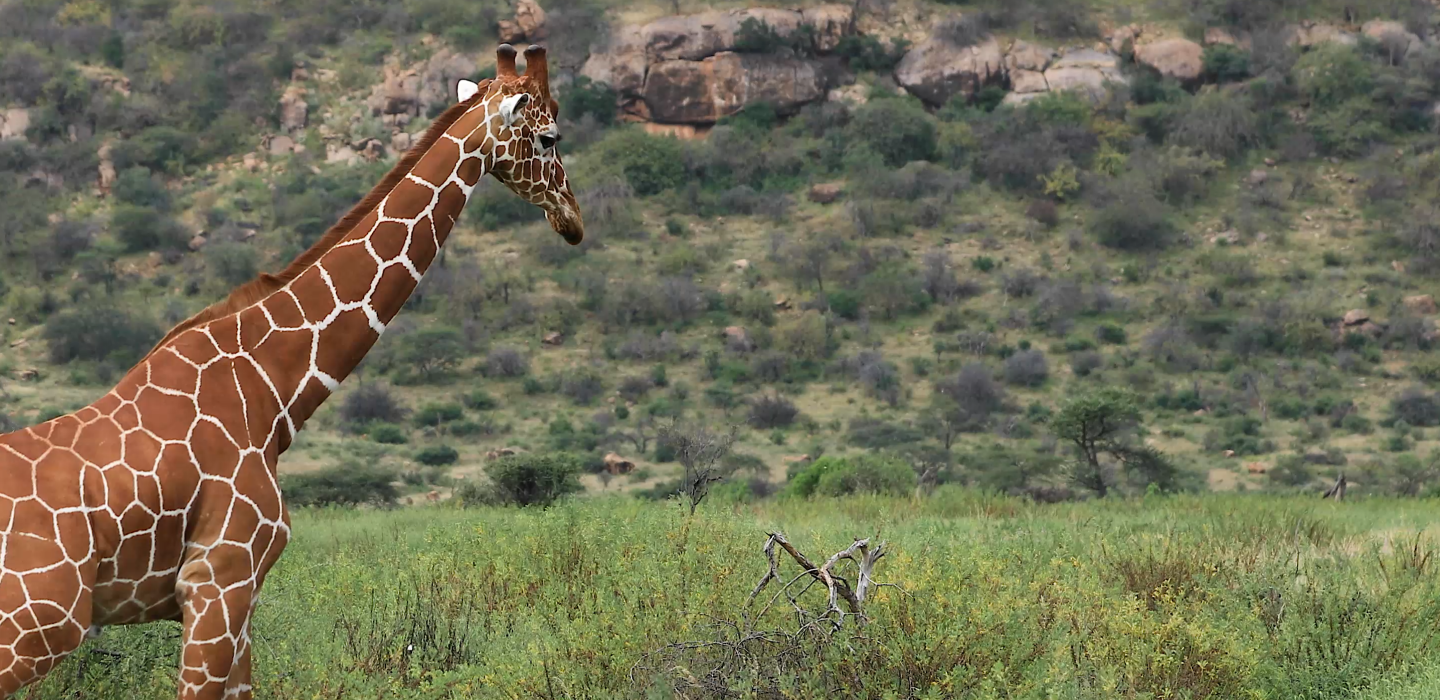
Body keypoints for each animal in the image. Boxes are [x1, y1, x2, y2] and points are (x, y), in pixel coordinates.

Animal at [0, 44, 580, 698]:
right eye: (551, 137)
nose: (573, 219)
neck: (272, 391)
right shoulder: (218, 578)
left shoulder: (239, 593)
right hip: (36, 626)